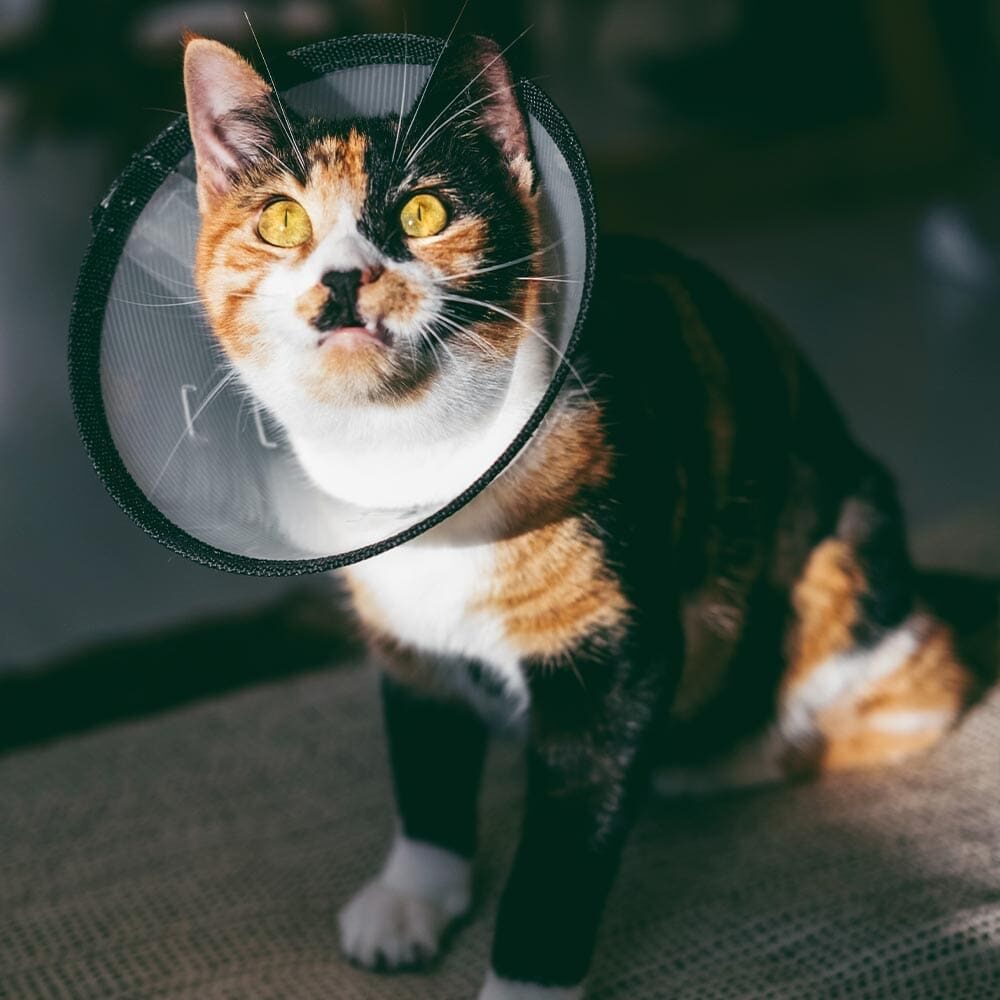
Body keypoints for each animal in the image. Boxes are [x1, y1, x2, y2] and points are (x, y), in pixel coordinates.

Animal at [184, 31, 980, 1000]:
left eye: (422, 212)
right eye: (282, 223)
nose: (343, 278)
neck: (417, 464)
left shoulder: (615, 657)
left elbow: (559, 858)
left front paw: (522, 982)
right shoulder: (405, 639)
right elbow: (424, 761)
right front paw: (412, 896)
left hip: (839, 572)